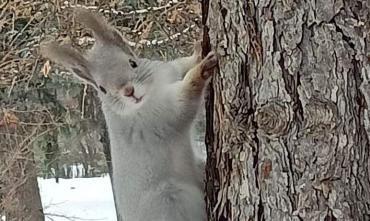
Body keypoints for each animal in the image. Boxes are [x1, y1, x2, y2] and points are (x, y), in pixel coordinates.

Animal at [41, 8, 217, 221]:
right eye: (102, 89)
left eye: (133, 63)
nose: (129, 91)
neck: (151, 93)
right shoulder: (161, 115)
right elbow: (184, 101)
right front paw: (201, 70)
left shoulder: (168, 71)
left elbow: (181, 65)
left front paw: (198, 51)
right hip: (172, 201)